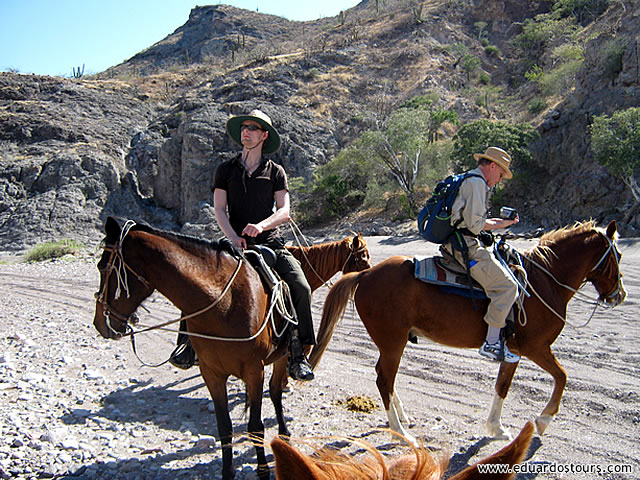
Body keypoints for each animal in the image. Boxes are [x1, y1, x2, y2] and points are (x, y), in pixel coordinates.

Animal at [92, 217, 370, 480]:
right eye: (100, 267)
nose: (99, 324)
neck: (223, 303)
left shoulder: (255, 370)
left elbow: (256, 425)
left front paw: (262, 470)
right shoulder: (212, 373)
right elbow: (224, 427)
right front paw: (228, 471)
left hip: (280, 356)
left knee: (275, 392)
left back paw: (284, 433)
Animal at [309, 220, 626, 444]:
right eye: (618, 255)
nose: (620, 295)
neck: (543, 283)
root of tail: (365, 274)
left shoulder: (513, 352)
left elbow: (502, 386)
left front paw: (496, 428)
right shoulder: (536, 347)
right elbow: (562, 377)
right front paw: (543, 420)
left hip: (391, 344)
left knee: (384, 376)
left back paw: (402, 419)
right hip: (392, 343)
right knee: (384, 380)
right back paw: (401, 432)